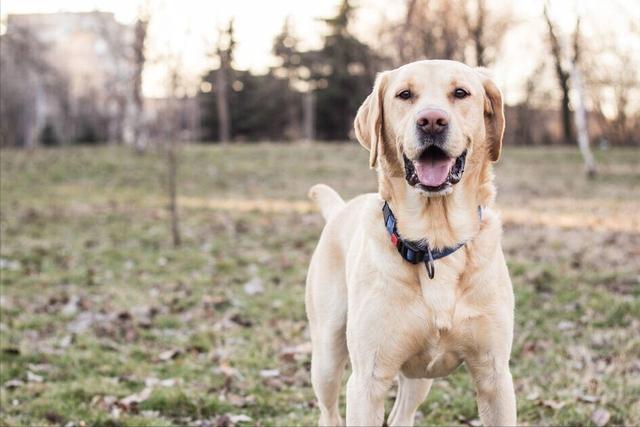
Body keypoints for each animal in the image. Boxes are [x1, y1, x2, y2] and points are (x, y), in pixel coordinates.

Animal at [304, 60, 516, 427]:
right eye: (404, 95)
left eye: (460, 93)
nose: (431, 120)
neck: (435, 239)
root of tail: (340, 208)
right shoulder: (367, 382)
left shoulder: (496, 378)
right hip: (328, 356)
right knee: (329, 411)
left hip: (418, 377)